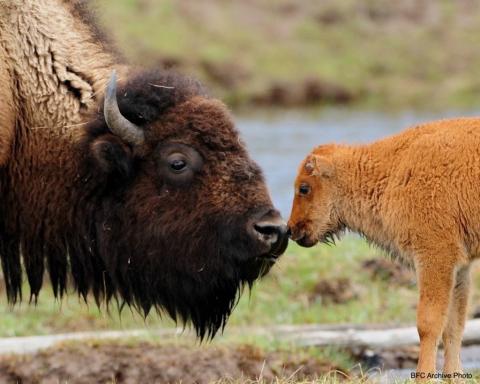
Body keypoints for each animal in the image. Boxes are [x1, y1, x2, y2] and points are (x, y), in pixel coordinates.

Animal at [286, 118, 480, 376]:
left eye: (304, 188)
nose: (290, 229)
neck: (393, 169)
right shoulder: (460, 267)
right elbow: (454, 327)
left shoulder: (435, 257)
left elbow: (428, 324)